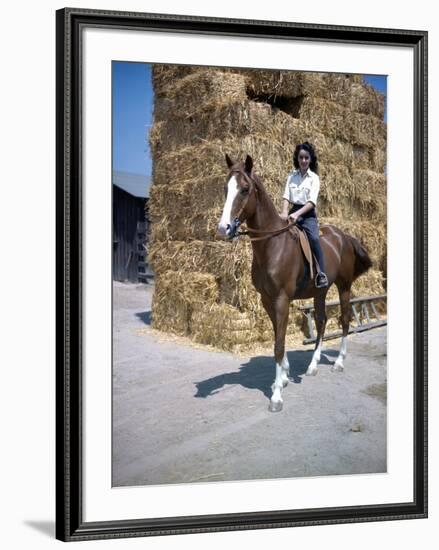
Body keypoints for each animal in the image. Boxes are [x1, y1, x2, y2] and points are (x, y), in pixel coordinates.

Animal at [218, 153, 372, 412]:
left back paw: (339, 362)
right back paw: (312, 366)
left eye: (245, 189)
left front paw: (277, 396)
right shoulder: (267, 300)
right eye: (226, 188)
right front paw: (283, 378)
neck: (272, 245)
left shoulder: (282, 298)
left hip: (344, 287)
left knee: (344, 320)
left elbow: (279, 344)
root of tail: (343, 235)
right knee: (321, 321)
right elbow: (277, 337)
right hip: (321, 291)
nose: (224, 228)